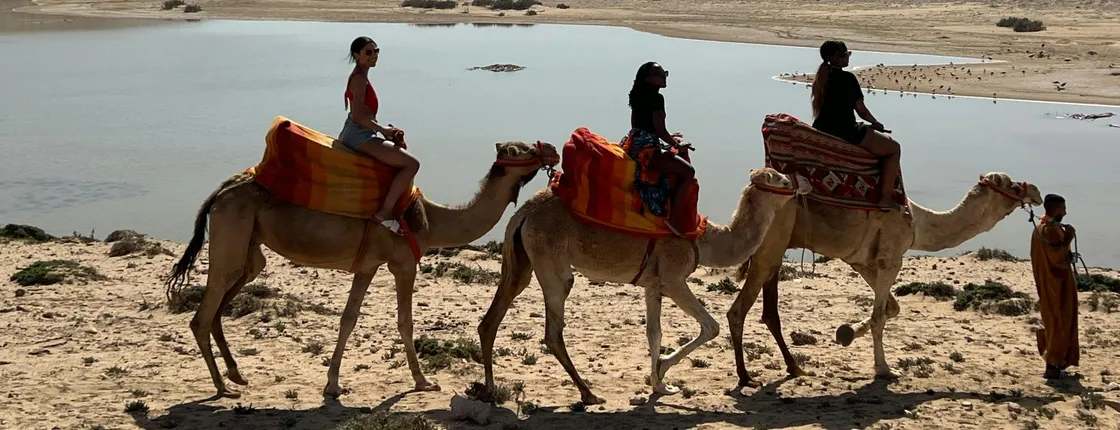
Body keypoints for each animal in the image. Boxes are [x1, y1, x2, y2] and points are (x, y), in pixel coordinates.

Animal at [165, 140, 560, 399]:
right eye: (523, 148)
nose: (553, 150)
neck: (433, 219)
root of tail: (221, 191)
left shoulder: (369, 263)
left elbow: (349, 317)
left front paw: (332, 384)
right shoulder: (403, 262)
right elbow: (404, 321)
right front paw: (423, 382)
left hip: (250, 247)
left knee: (226, 298)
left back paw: (236, 375)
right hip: (232, 234)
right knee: (203, 313)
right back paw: (221, 388)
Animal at [477, 167, 813, 404]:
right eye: (783, 181)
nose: (806, 182)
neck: (703, 240)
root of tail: (523, 212)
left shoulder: (653, 284)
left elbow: (654, 333)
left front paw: (660, 384)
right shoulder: (674, 278)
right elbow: (711, 326)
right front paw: (663, 370)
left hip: (522, 259)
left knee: (492, 317)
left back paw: (491, 390)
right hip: (551, 262)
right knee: (553, 330)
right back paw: (589, 394)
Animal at [726, 172, 1042, 386]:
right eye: (1014, 186)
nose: (1037, 193)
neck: (918, 223)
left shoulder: (863, 261)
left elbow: (892, 307)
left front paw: (847, 332)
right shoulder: (892, 258)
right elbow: (880, 316)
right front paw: (884, 369)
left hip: (777, 248)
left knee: (769, 312)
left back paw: (794, 367)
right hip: (769, 245)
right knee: (738, 310)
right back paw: (745, 377)